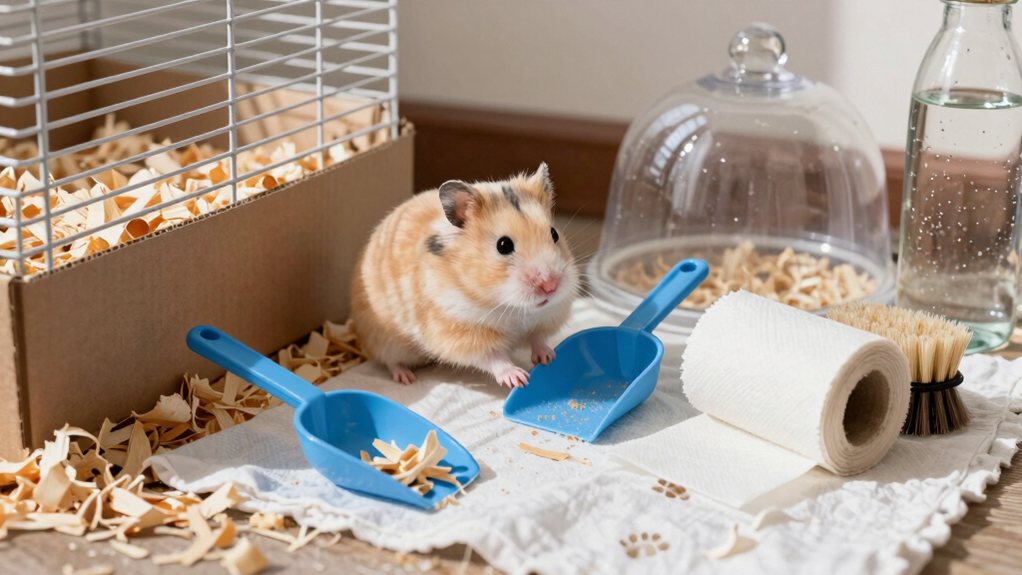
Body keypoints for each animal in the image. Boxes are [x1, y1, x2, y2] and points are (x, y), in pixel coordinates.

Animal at [351, 163, 578, 388]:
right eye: (503, 245)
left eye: (554, 234)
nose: (550, 286)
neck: (509, 305)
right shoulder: (462, 333)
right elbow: (493, 357)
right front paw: (518, 378)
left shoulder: (545, 317)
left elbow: (537, 338)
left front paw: (549, 357)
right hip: (387, 342)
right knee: (390, 362)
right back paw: (406, 378)